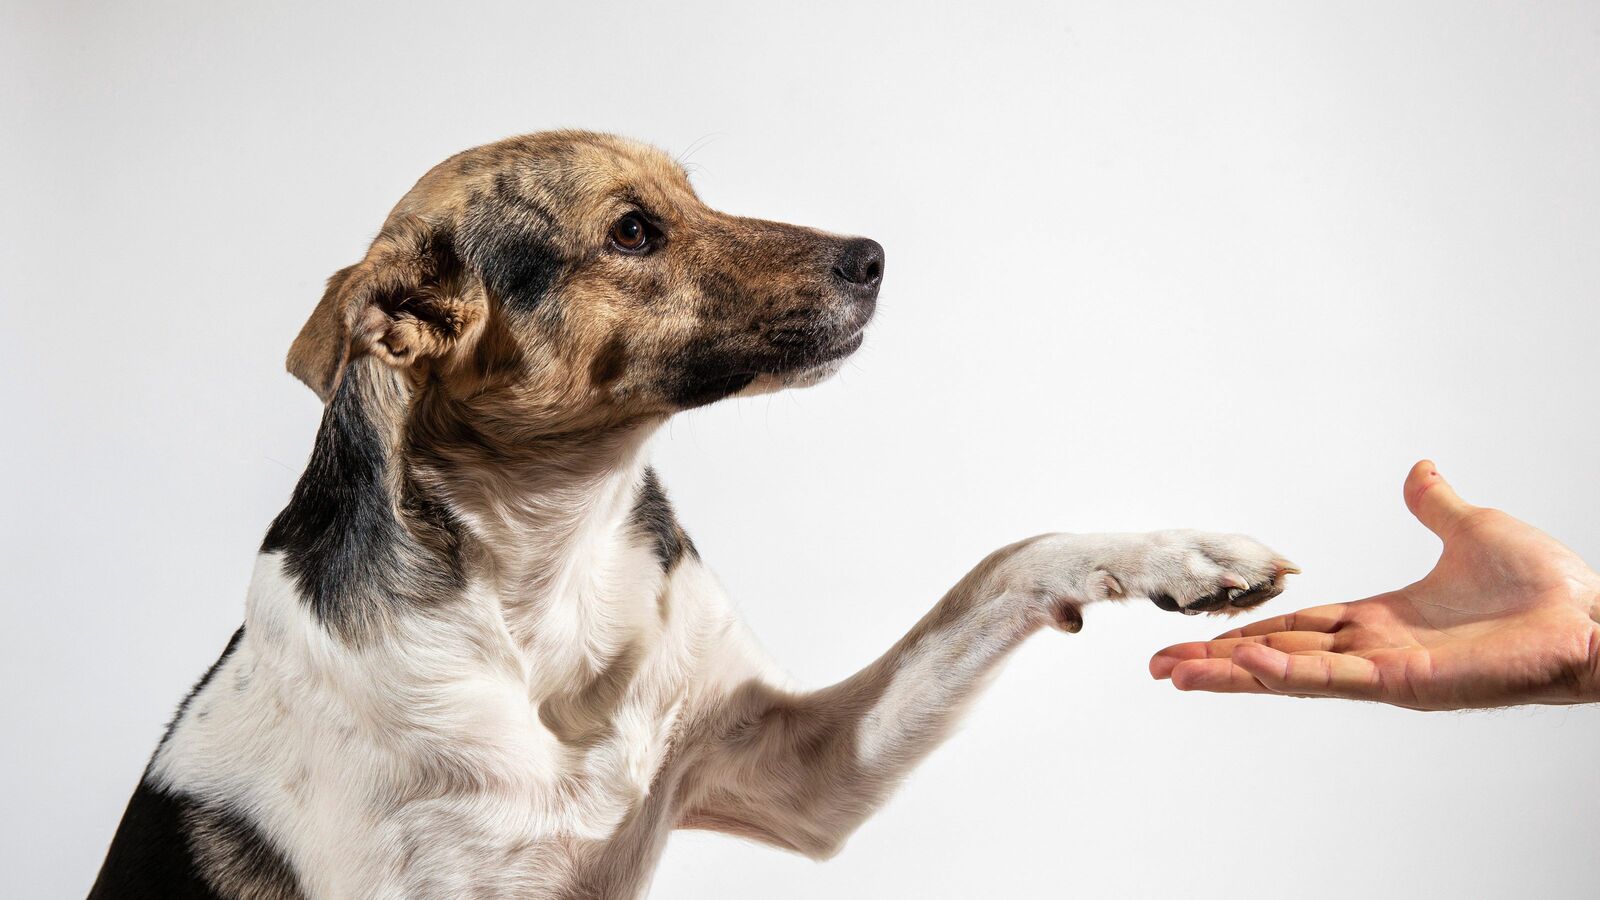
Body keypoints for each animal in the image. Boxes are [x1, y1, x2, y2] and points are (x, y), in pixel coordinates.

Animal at [87, 129, 1292, 890]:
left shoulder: (804, 771)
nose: (873, 258)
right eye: (632, 232)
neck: (546, 563)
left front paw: (1179, 554)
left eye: (692, 197)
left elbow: (1003, 561)